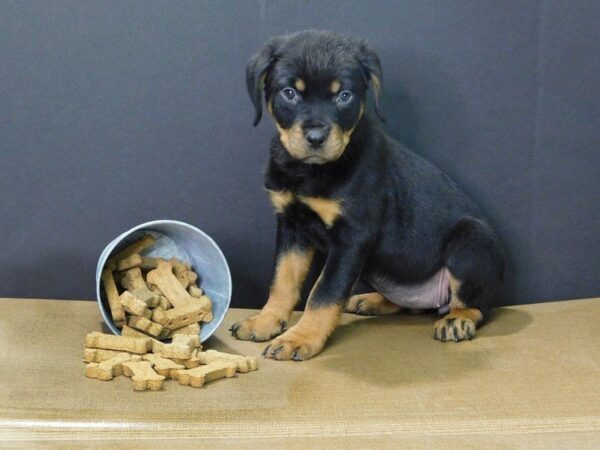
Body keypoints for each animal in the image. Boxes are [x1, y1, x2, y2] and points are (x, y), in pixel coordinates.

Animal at [227, 30, 504, 362]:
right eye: (289, 93)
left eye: (344, 95)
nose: (316, 138)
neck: (310, 172)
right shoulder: (291, 224)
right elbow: (282, 279)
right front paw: (266, 321)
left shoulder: (353, 235)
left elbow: (324, 291)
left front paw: (299, 338)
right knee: (410, 303)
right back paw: (371, 300)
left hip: (471, 239)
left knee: (476, 303)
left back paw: (458, 320)